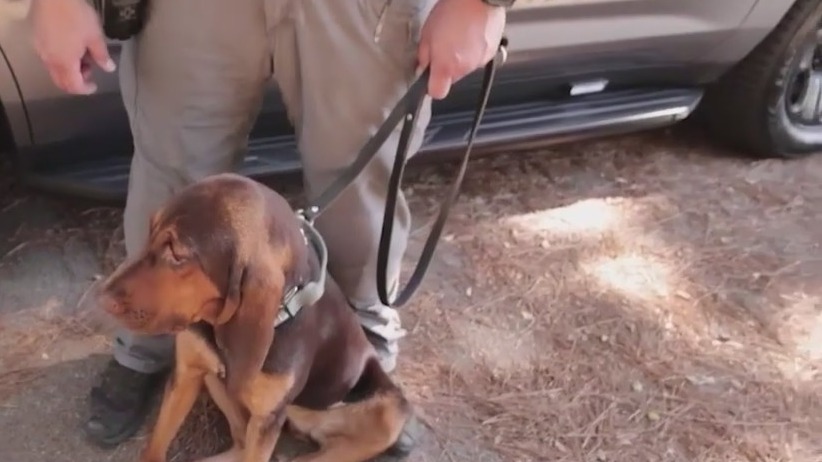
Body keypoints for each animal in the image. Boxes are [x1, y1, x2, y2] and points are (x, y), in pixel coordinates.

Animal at [97, 173, 418, 462]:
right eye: (150, 230)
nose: (104, 300)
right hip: (218, 383)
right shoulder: (188, 373)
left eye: (177, 255)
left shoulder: (266, 418)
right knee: (240, 443)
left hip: (389, 413)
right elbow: (154, 447)